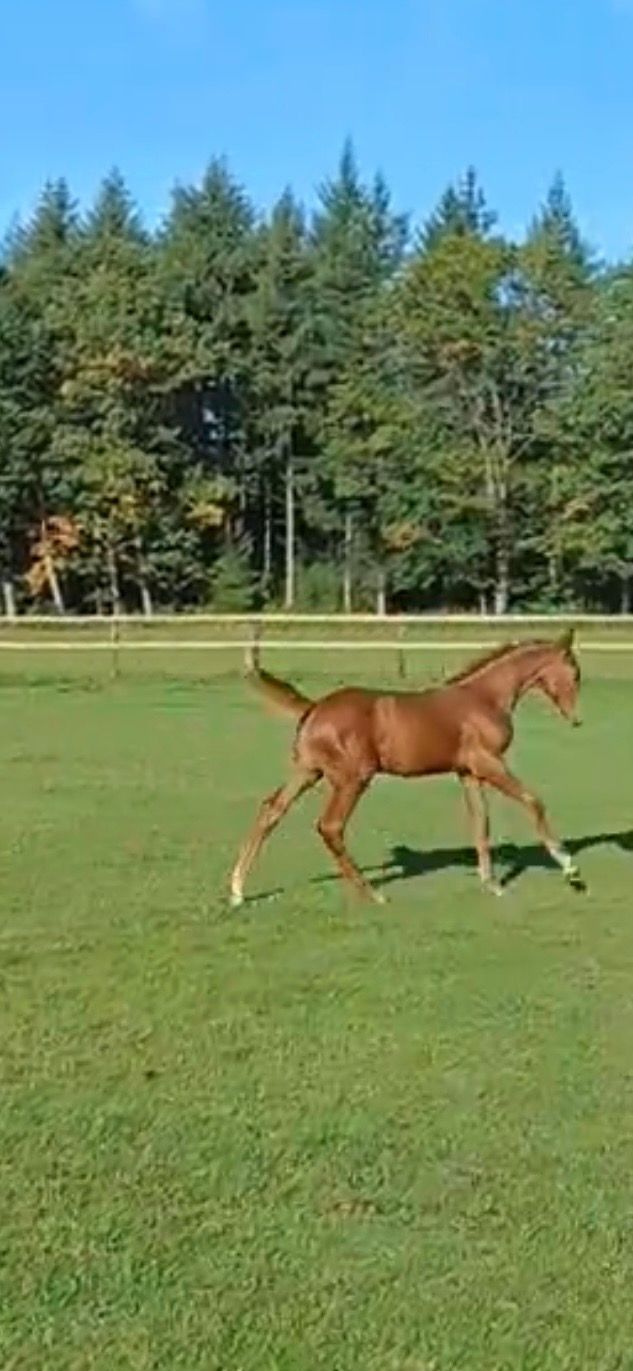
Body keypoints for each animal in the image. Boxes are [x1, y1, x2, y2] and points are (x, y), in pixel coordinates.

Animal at [229, 628, 583, 907]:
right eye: (575, 673)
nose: (576, 719)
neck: (484, 698)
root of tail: (315, 707)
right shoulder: (489, 762)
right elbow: (532, 801)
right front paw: (569, 868)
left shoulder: (468, 771)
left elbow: (481, 823)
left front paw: (491, 884)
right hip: (352, 779)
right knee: (329, 826)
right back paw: (373, 894)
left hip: (308, 771)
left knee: (271, 810)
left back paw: (237, 890)